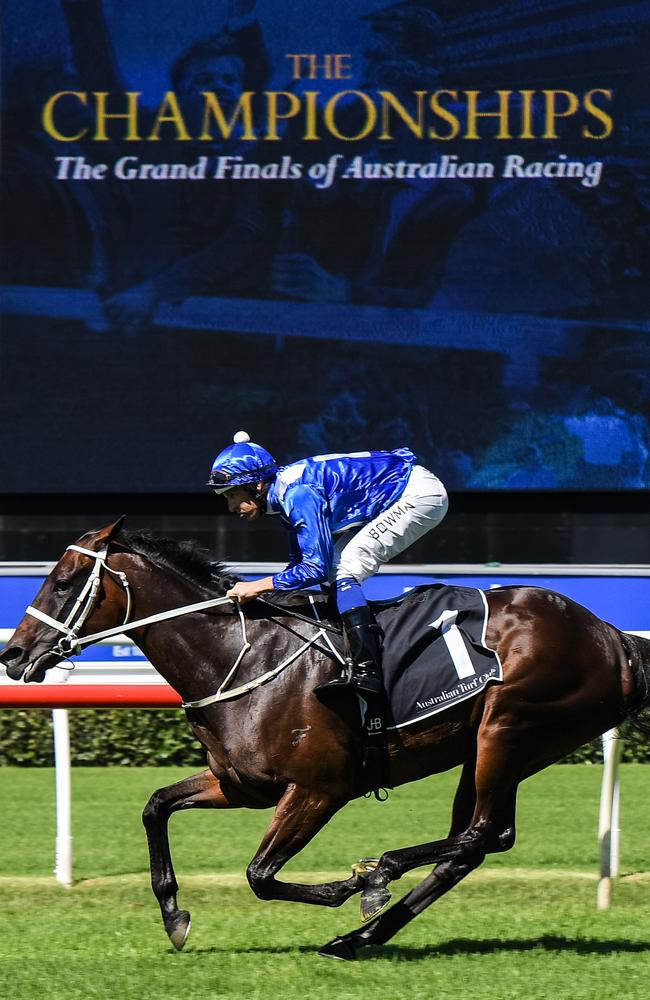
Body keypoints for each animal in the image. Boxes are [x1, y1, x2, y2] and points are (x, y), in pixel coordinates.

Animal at [3, 516, 648, 960]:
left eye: (63, 582)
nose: (13, 654)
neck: (240, 656)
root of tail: (613, 638)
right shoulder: (240, 785)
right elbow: (156, 806)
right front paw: (173, 915)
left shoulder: (320, 789)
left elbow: (259, 875)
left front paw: (351, 883)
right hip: (489, 746)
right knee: (475, 842)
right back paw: (360, 935)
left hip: (509, 727)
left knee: (482, 832)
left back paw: (378, 876)